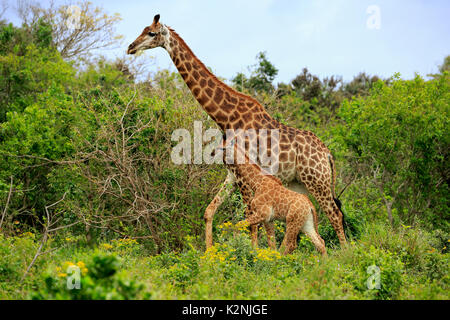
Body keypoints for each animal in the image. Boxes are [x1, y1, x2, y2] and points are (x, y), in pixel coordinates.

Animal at [127, 14, 348, 248]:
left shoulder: (244, 174)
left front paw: (254, 253)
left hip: (317, 180)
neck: (226, 118)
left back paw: (345, 252)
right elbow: (210, 211)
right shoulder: (232, 174)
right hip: (300, 183)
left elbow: (250, 219)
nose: (131, 47)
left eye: (151, 33)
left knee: (335, 214)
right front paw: (209, 251)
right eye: (143, 29)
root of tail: (328, 154)